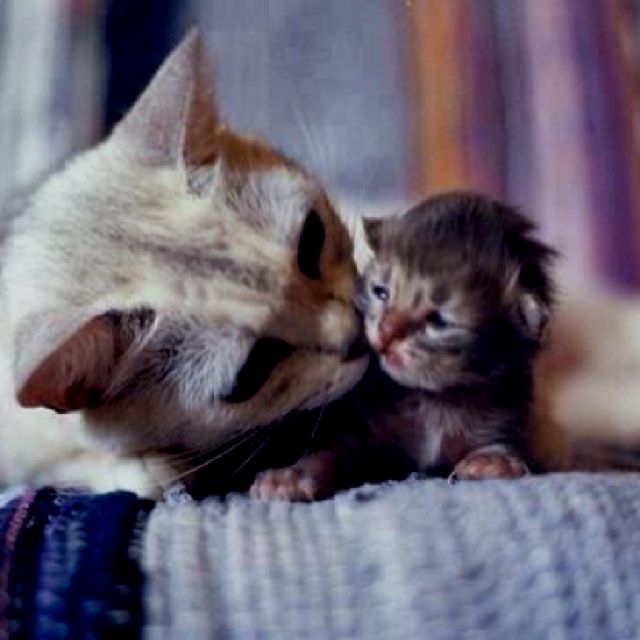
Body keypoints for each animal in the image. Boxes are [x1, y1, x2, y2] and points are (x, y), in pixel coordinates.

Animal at [251, 190, 556, 500]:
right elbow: (328, 451)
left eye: (438, 321)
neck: (435, 398)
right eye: (381, 292)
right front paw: (289, 477)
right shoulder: (361, 423)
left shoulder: (502, 412)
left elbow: (500, 443)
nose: (385, 332)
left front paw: (493, 460)